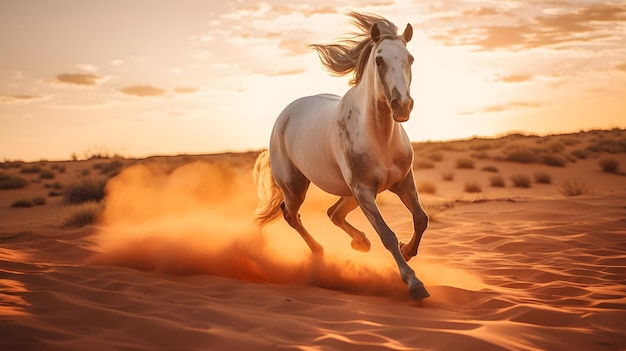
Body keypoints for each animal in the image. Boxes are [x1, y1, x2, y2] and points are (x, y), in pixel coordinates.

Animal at [251, 12, 426, 302]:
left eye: (410, 58)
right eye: (379, 60)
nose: (402, 106)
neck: (380, 137)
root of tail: (286, 114)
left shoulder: (403, 182)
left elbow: (421, 219)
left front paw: (408, 249)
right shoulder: (364, 190)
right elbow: (387, 235)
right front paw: (414, 282)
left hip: (350, 193)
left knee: (333, 213)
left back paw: (360, 243)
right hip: (297, 187)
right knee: (291, 214)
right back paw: (320, 252)